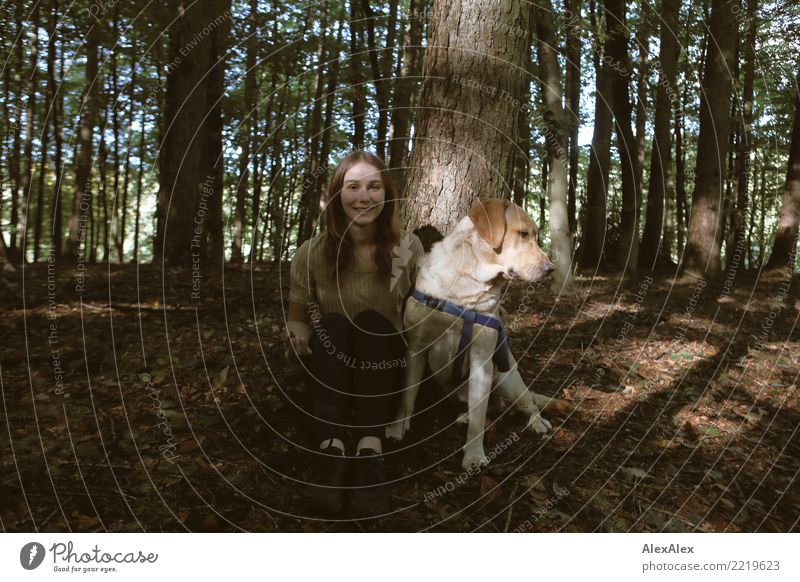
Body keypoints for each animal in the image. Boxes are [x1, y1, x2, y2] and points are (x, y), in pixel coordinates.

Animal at [386, 198, 564, 472]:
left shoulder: (482, 358)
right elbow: (407, 397)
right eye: (523, 234)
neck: (466, 282)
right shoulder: (416, 347)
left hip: (508, 380)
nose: (550, 268)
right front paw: (397, 430)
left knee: (528, 403)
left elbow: (479, 419)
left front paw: (473, 456)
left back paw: (537, 422)